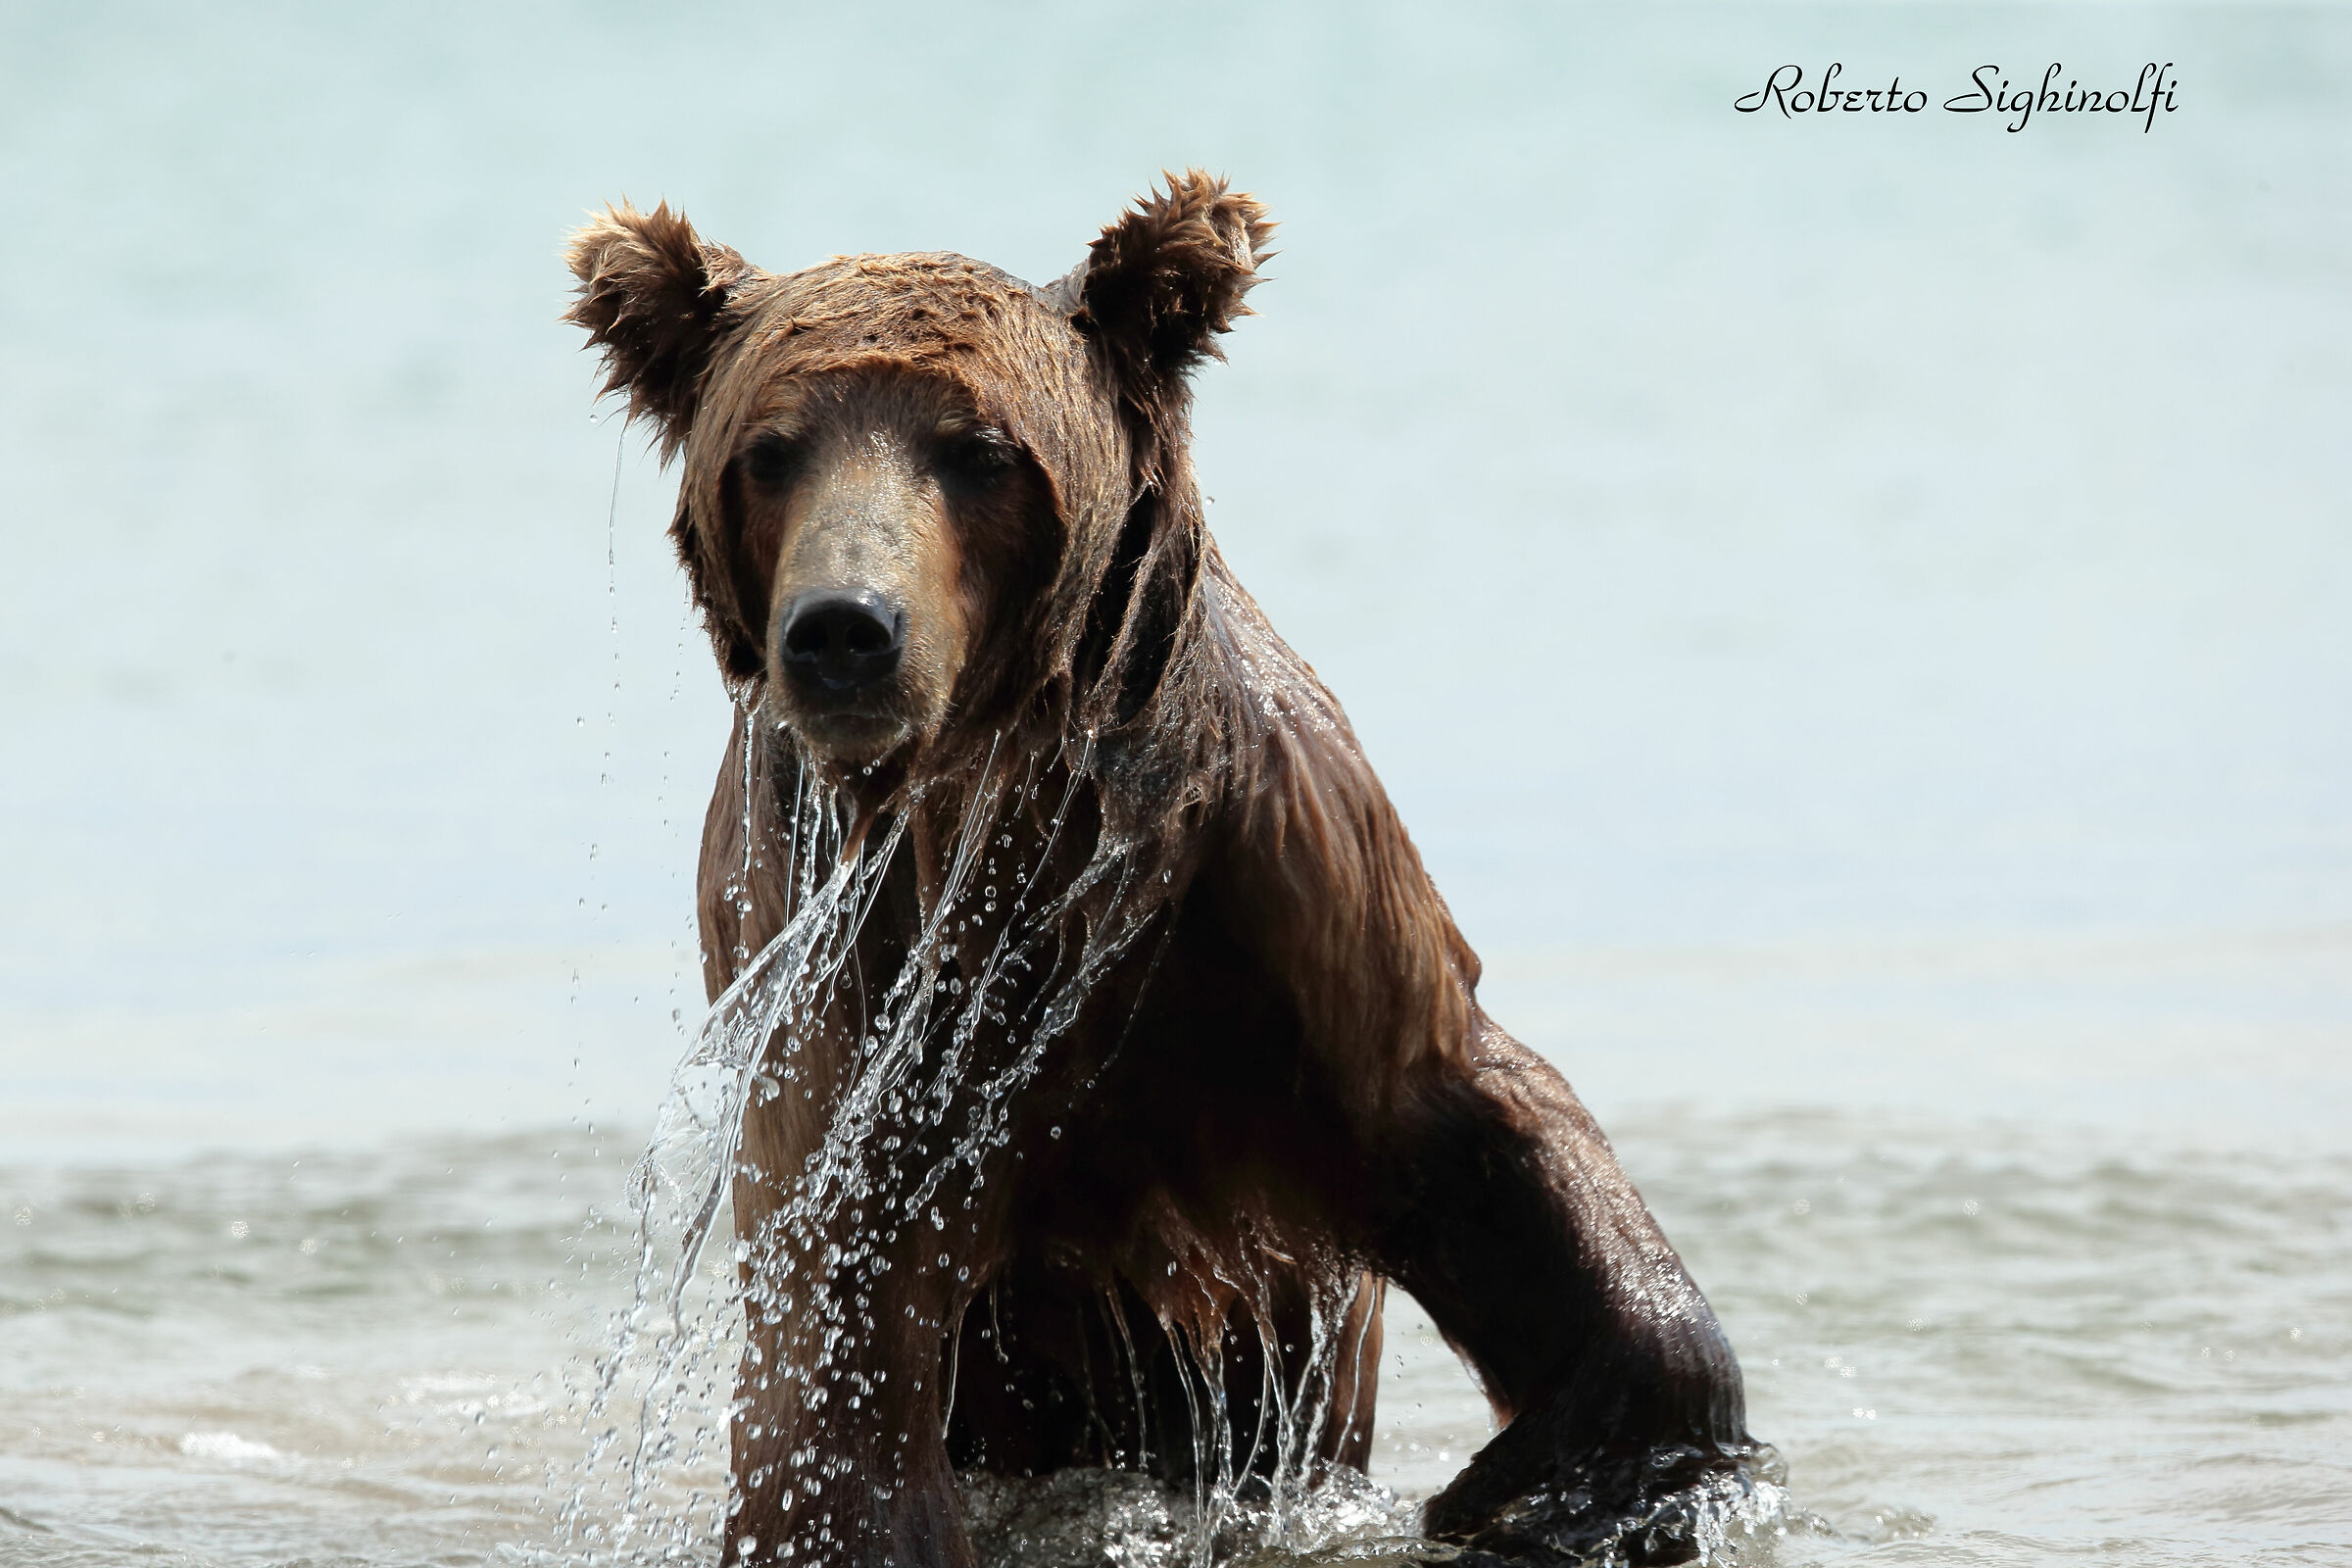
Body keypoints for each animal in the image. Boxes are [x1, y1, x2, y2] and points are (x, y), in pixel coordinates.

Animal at [565, 171, 1760, 1568]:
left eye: (981, 450)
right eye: (769, 451)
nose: (847, 631)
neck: (1018, 829)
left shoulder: (1276, 902)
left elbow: (1473, 1125)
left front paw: (1587, 1479)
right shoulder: (861, 1009)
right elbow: (840, 1364)